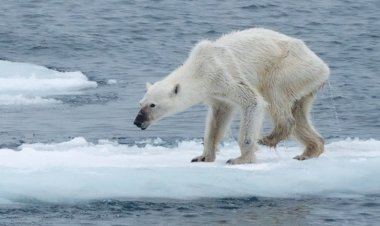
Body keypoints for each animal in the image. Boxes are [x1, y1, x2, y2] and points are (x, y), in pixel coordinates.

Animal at [134, 29, 330, 165]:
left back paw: (269, 138)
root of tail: (323, 66)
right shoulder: (215, 93)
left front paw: (240, 159)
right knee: (299, 112)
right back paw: (309, 151)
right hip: (305, 82)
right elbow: (218, 118)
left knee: (275, 94)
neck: (200, 68)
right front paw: (202, 156)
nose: (137, 121)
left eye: (152, 105)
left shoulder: (223, 75)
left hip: (289, 68)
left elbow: (253, 101)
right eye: (140, 103)